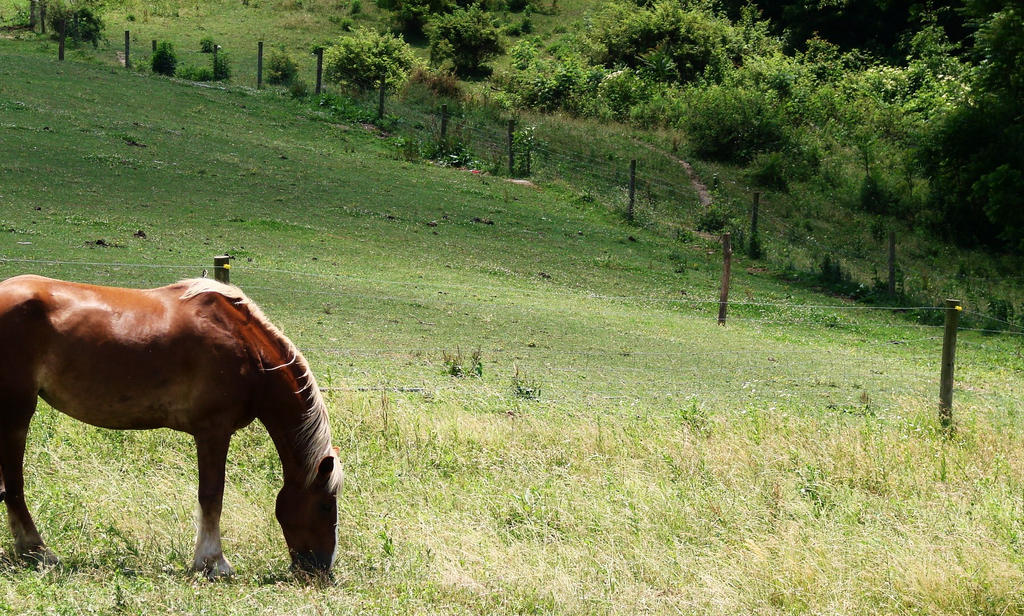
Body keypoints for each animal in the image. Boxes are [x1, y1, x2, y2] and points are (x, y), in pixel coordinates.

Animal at [0, 276, 344, 573]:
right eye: (326, 506)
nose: (321, 567)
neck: (247, 349)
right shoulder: (213, 432)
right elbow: (211, 495)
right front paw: (212, 562)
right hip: (17, 412)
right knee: (14, 485)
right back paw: (36, 551)